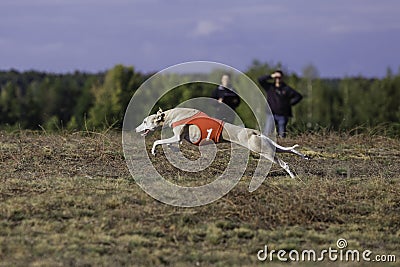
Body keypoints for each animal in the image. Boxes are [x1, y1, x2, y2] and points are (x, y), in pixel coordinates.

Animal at [136, 108, 308, 179]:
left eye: (144, 121)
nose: (136, 128)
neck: (171, 115)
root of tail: (254, 132)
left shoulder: (177, 137)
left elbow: (158, 141)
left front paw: (154, 151)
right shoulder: (179, 138)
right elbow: (169, 144)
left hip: (263, 151)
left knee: (283, 162)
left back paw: (292, 175)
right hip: (267, 147)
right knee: (287, 151)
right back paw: (303, 157)